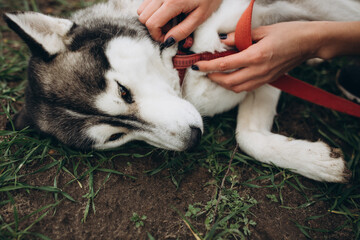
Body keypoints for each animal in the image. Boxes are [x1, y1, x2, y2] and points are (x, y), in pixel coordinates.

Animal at [3, 0, 360, 181]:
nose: (193, 138)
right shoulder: (262, 67)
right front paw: (316, 161)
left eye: (123, 91)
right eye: (116, 137)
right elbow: (247, 137)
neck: (184, 62)